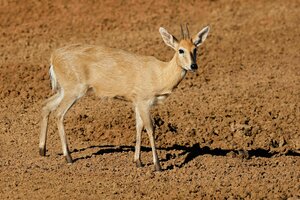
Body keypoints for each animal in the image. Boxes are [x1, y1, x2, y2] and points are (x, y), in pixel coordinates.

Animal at [39, 24, 209, 172]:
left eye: (195, 49)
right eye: (181, 50)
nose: (193, 66)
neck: (159, 74)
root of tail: (54, 56)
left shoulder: (136, 103)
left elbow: (139, 127)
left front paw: (138, 161)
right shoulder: (144, 102)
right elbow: (150, 128)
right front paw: (157, 166)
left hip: (64, 90)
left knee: (46, 106)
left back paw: (42, 150)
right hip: (74, 91)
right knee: (59, 114)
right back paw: (68, 157)